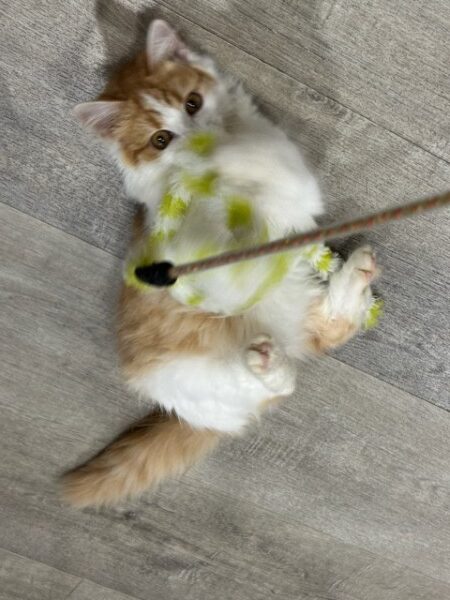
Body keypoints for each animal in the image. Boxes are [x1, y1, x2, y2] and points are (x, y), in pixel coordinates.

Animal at [63, 19, 380, 507]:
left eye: (192, 103)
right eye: (160, 139)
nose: (198, 138)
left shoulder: (292, 188)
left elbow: (262, 155)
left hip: (290, 294)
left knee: (326, 330)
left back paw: (353, 282)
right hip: (198, 369)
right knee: (271, 388)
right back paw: (270, 364)